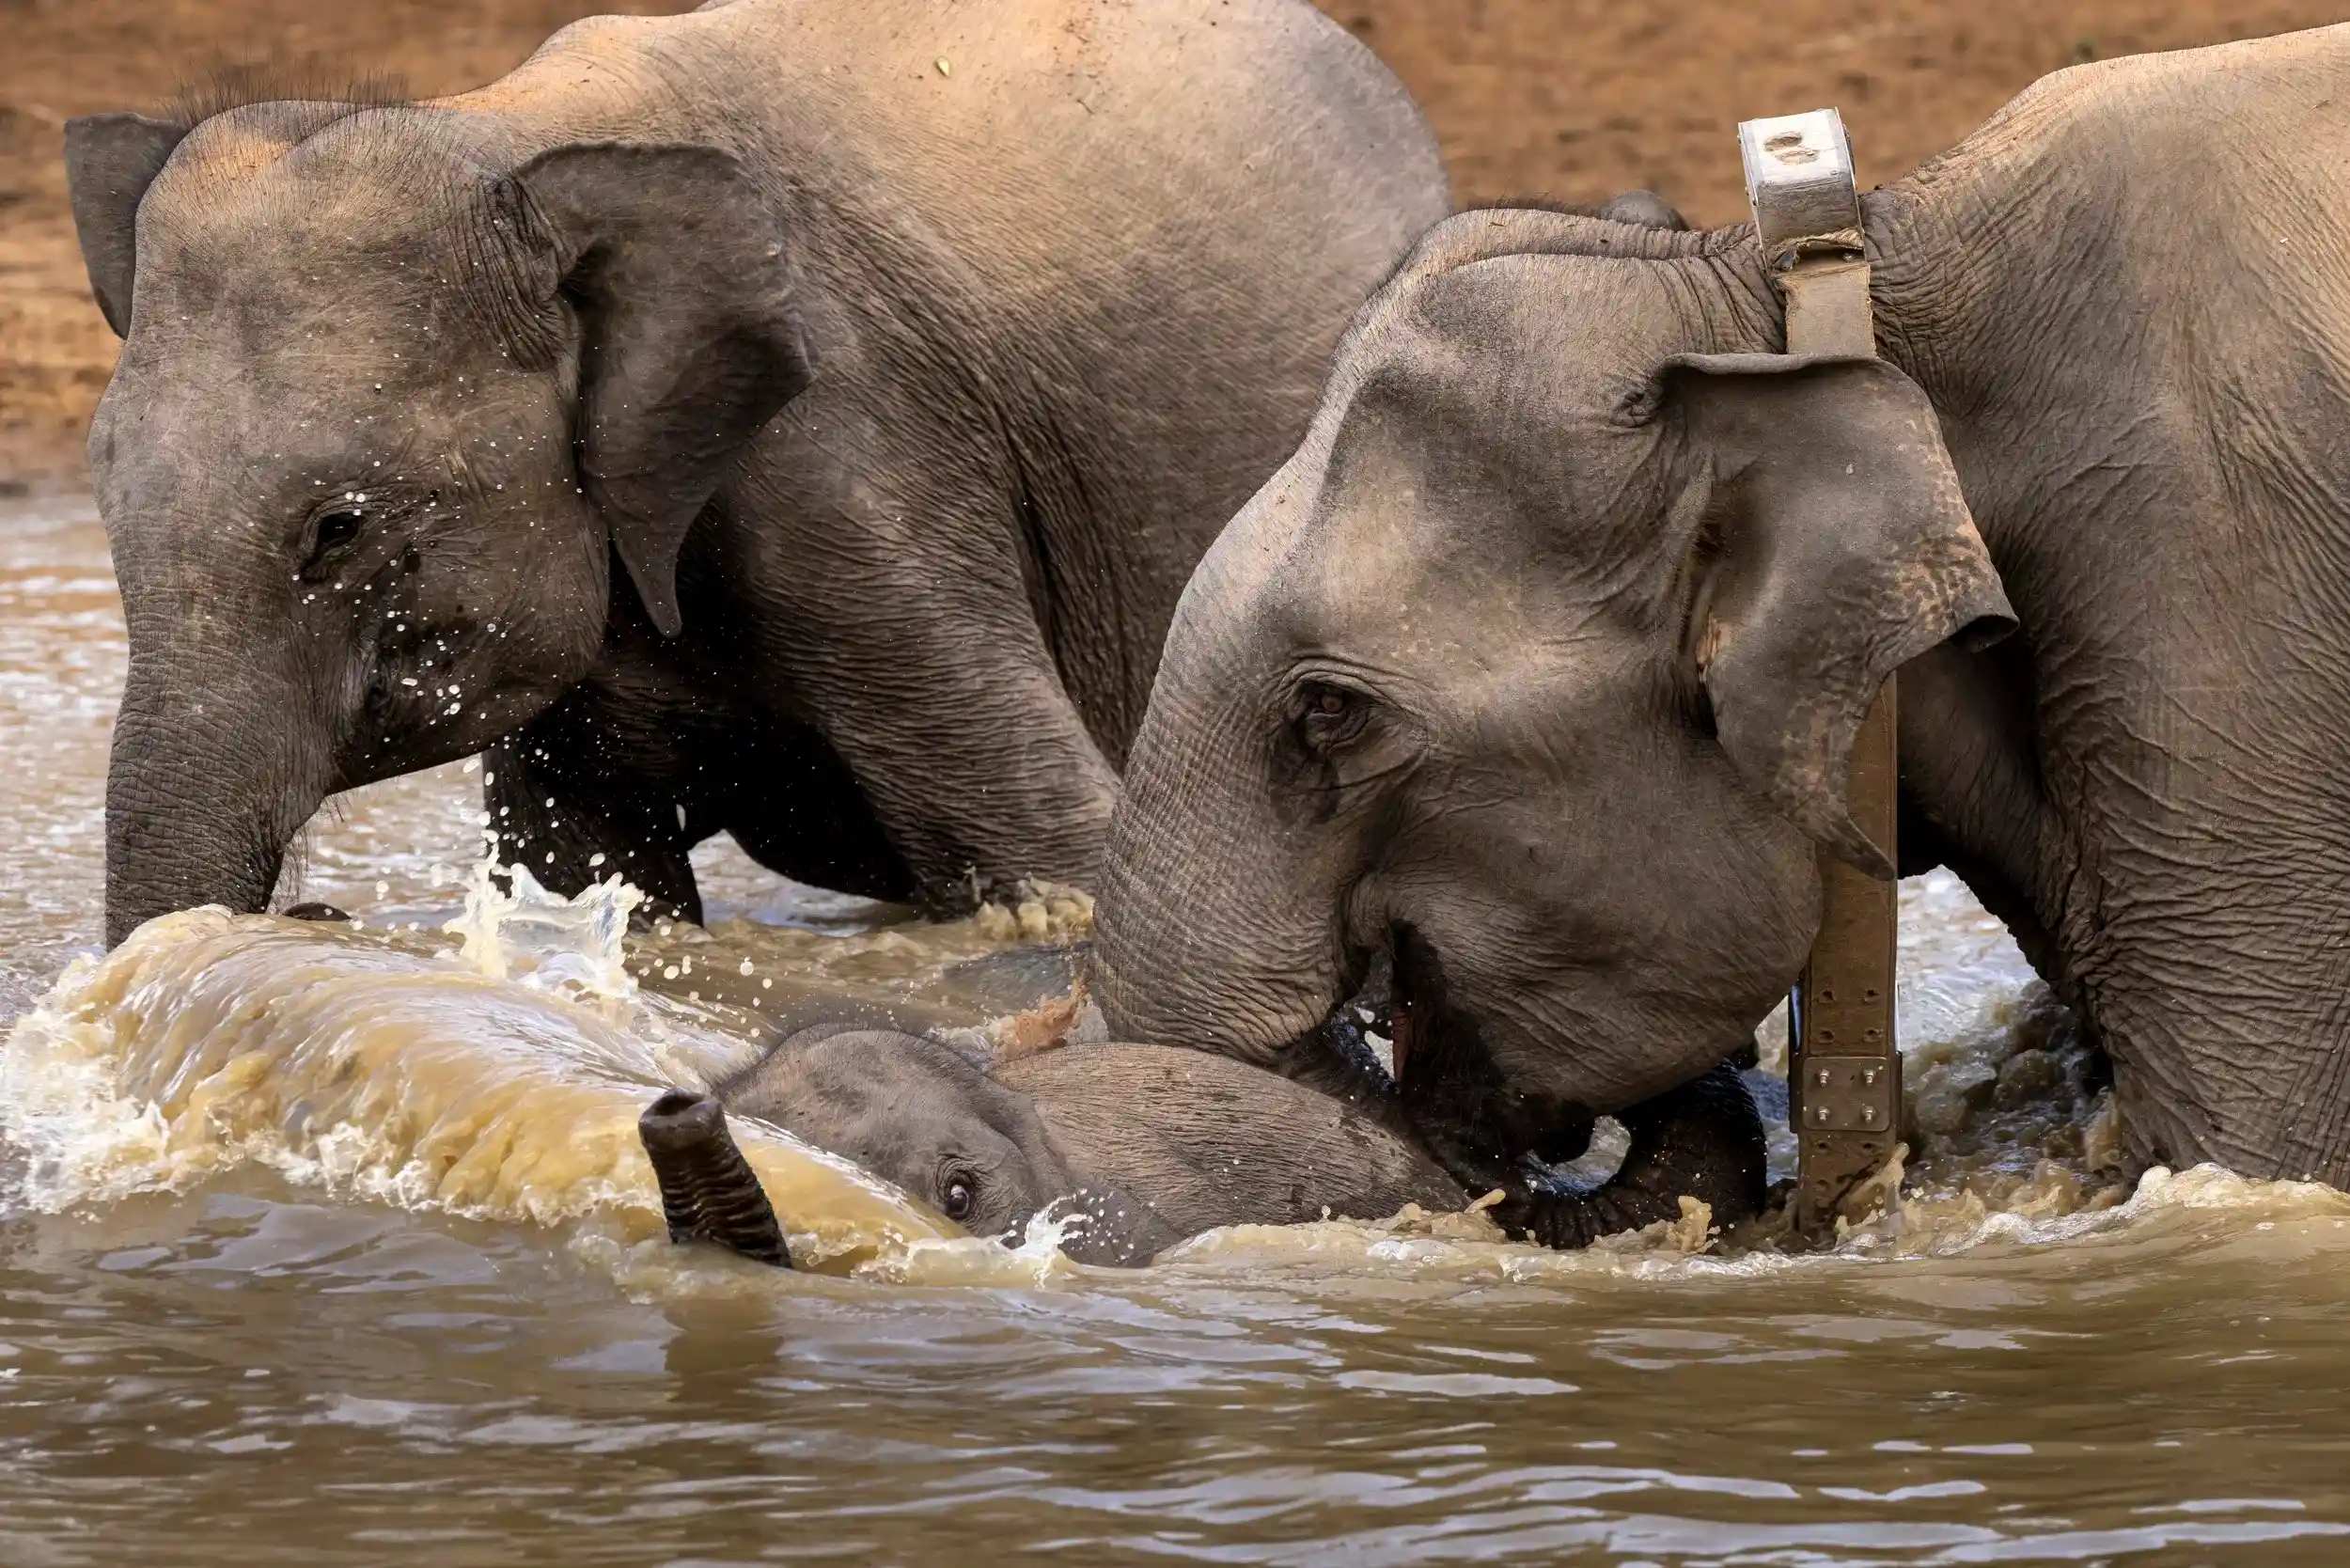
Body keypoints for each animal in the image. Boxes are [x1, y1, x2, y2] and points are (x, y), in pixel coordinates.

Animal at [64, 0, 1451, 946]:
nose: (310, 920)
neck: (505, 129)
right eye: (104, 492)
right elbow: (592, 871)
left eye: (338, 529)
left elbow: (1059, 850)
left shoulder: (860, 446)